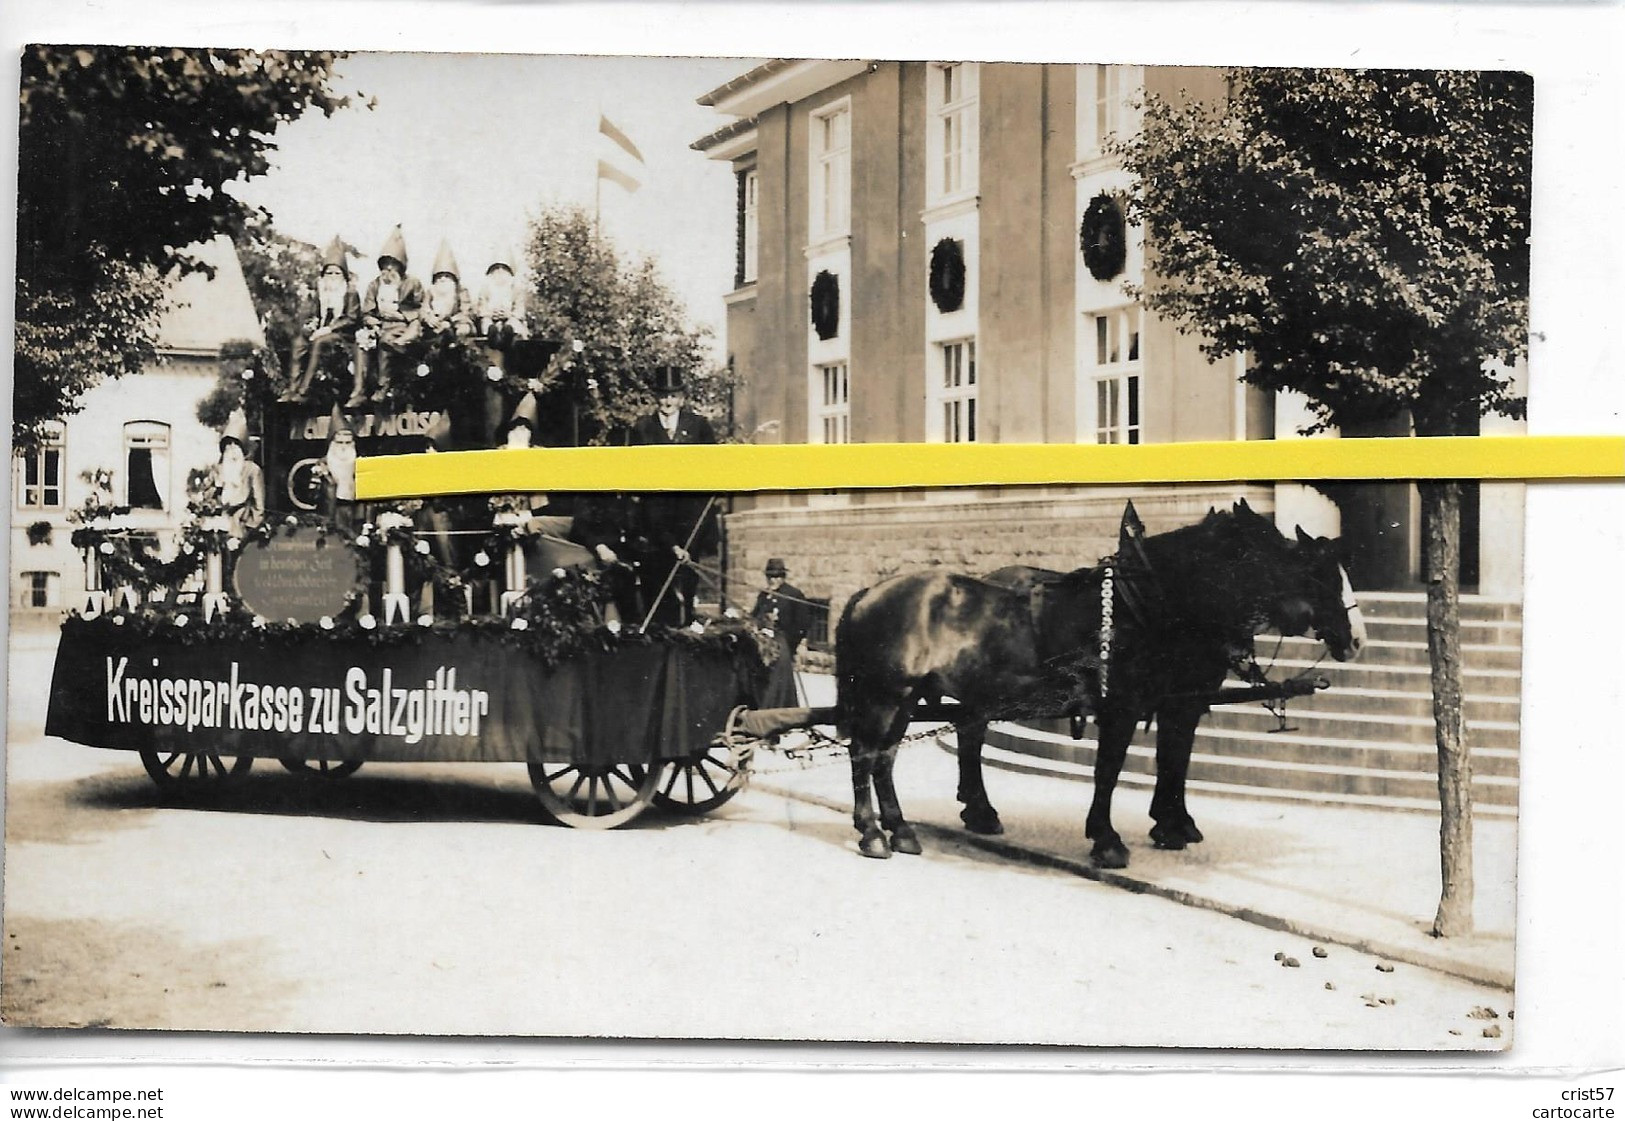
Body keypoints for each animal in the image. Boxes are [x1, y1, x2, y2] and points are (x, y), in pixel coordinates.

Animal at [832, 500, 1365, 864]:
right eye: (1313, 573)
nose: (1356, 638)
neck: (1145, 607)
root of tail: (868, 592)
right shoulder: (1126, 706)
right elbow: (1111, 770)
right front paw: (1110, 838)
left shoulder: (1178, 701)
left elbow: (1173, 761)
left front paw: (1172, 825)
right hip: (885, 695)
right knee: (867, 753)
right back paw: (875, 833)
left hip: (910, 696)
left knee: (892, 756)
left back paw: (908, 829)